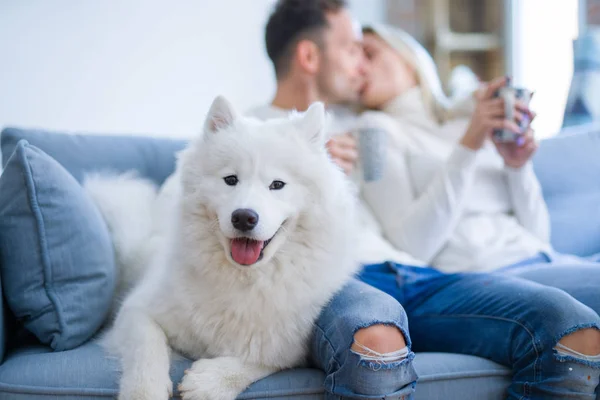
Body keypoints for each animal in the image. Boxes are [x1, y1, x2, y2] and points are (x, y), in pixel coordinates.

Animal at [88, 97, 360, 400]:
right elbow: (147, 350)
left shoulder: (290, 347)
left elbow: (261, 361)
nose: (243, 217)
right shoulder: (137, 311)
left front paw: (210, 382)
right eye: (231, 179)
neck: (241, 278)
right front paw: (144, 391)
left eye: (277, 185)